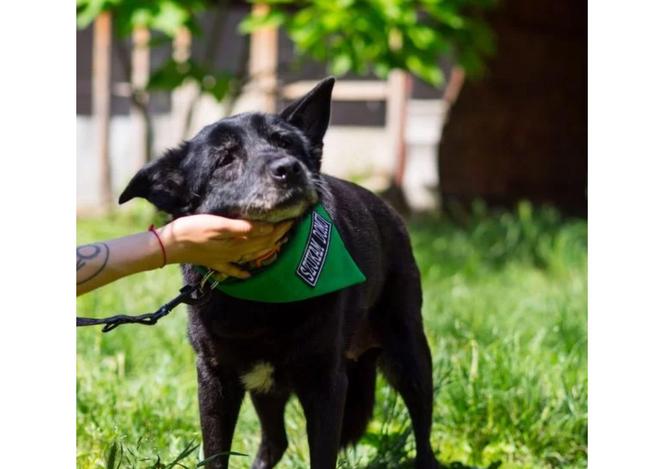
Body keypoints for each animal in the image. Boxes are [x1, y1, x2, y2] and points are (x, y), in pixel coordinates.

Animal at [119, 77, 440, 468]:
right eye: (224, 159)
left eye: (285, 142)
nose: (290, 168)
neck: (262, 286)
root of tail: (390, 212)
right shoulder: (214, 379)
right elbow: (216, 454)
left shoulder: (326, 382)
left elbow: (323, 456)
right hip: (266, 387)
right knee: (276, 441)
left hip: (409, 356)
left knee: (424, 438)